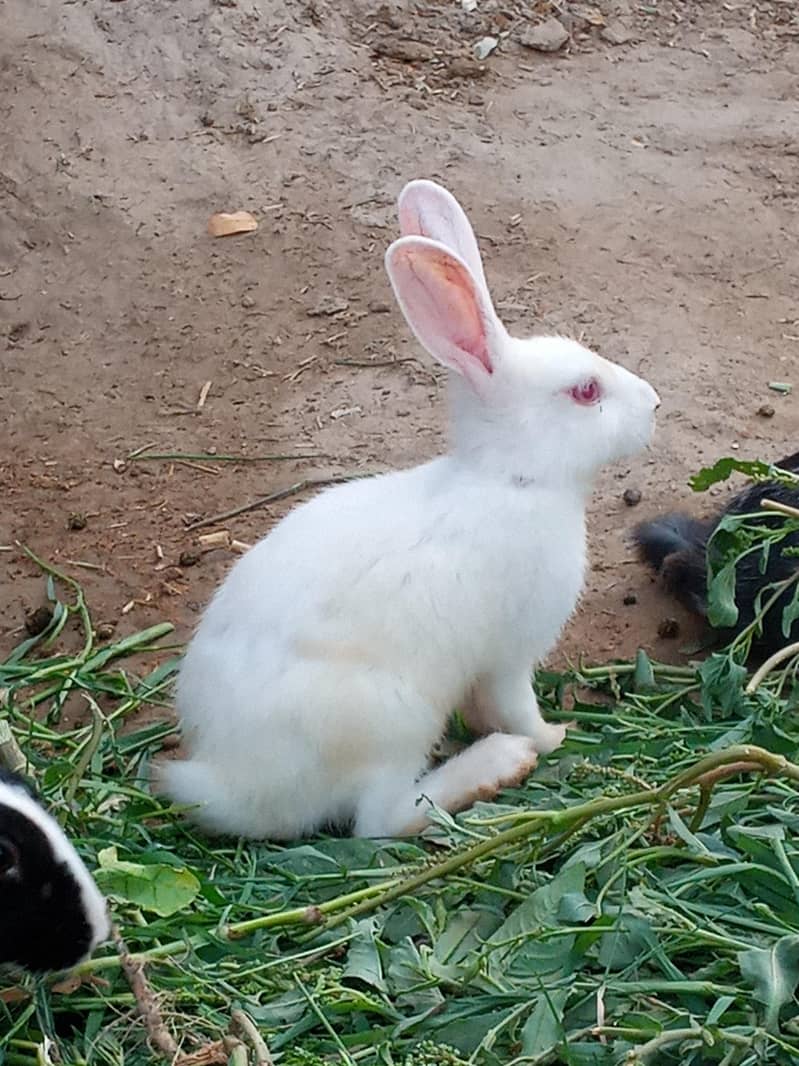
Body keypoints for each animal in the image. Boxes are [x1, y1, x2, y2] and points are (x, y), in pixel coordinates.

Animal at [159, 178, 660, 840]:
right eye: (585, 391)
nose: (654, 403)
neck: (511, 478)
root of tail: (233, 790)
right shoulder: (509, 654)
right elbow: (517, 707)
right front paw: (555, 734)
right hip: (392, 721)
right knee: (382, 820)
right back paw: (496, 766)